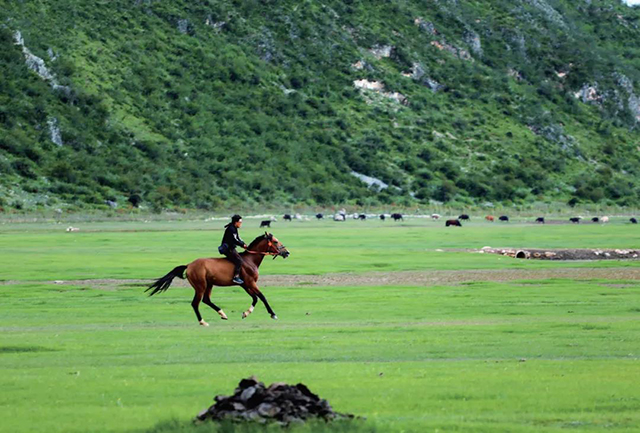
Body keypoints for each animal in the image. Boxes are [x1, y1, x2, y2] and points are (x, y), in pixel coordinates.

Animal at [146, 233, 288, 324]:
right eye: (276, 241)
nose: (287, 252)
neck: (249, 260)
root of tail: (189, 265)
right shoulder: (250, 283)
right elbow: (262, 297)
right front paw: (273, 314)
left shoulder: (245, 285)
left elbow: (255, 298)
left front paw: (246, 313)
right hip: (200, 286)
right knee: (195, 303)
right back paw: (203, 322)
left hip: (209, 285)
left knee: (206, 300)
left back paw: (222, 314)